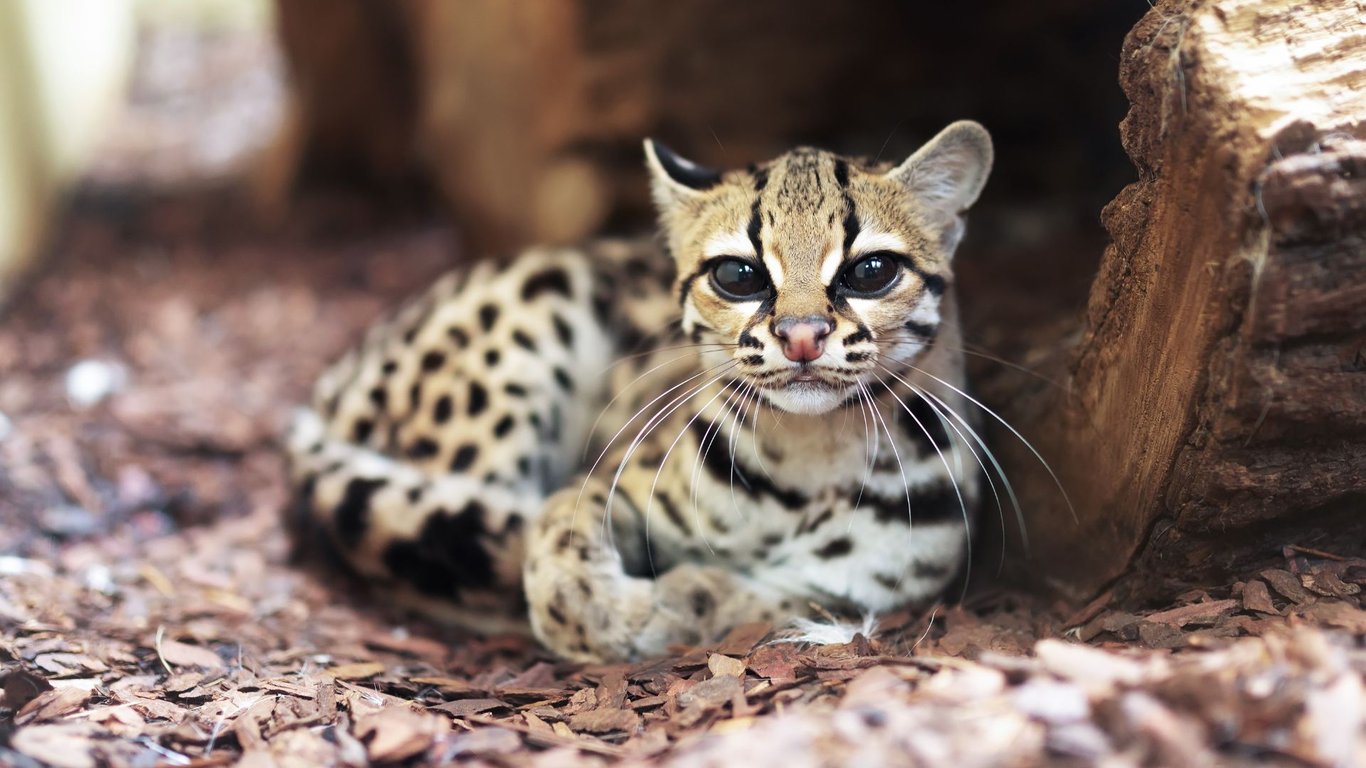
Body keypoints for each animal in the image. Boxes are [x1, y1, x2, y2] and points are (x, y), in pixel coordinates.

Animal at [285, 119, 994, 658]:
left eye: (871, 271)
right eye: (738, 275)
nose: (800, 336)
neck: (810, 454)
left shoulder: (884, 579)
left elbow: (778, 595)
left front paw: (682, 598)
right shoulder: (616, 474)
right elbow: (560, 532)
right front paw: (619, 613)